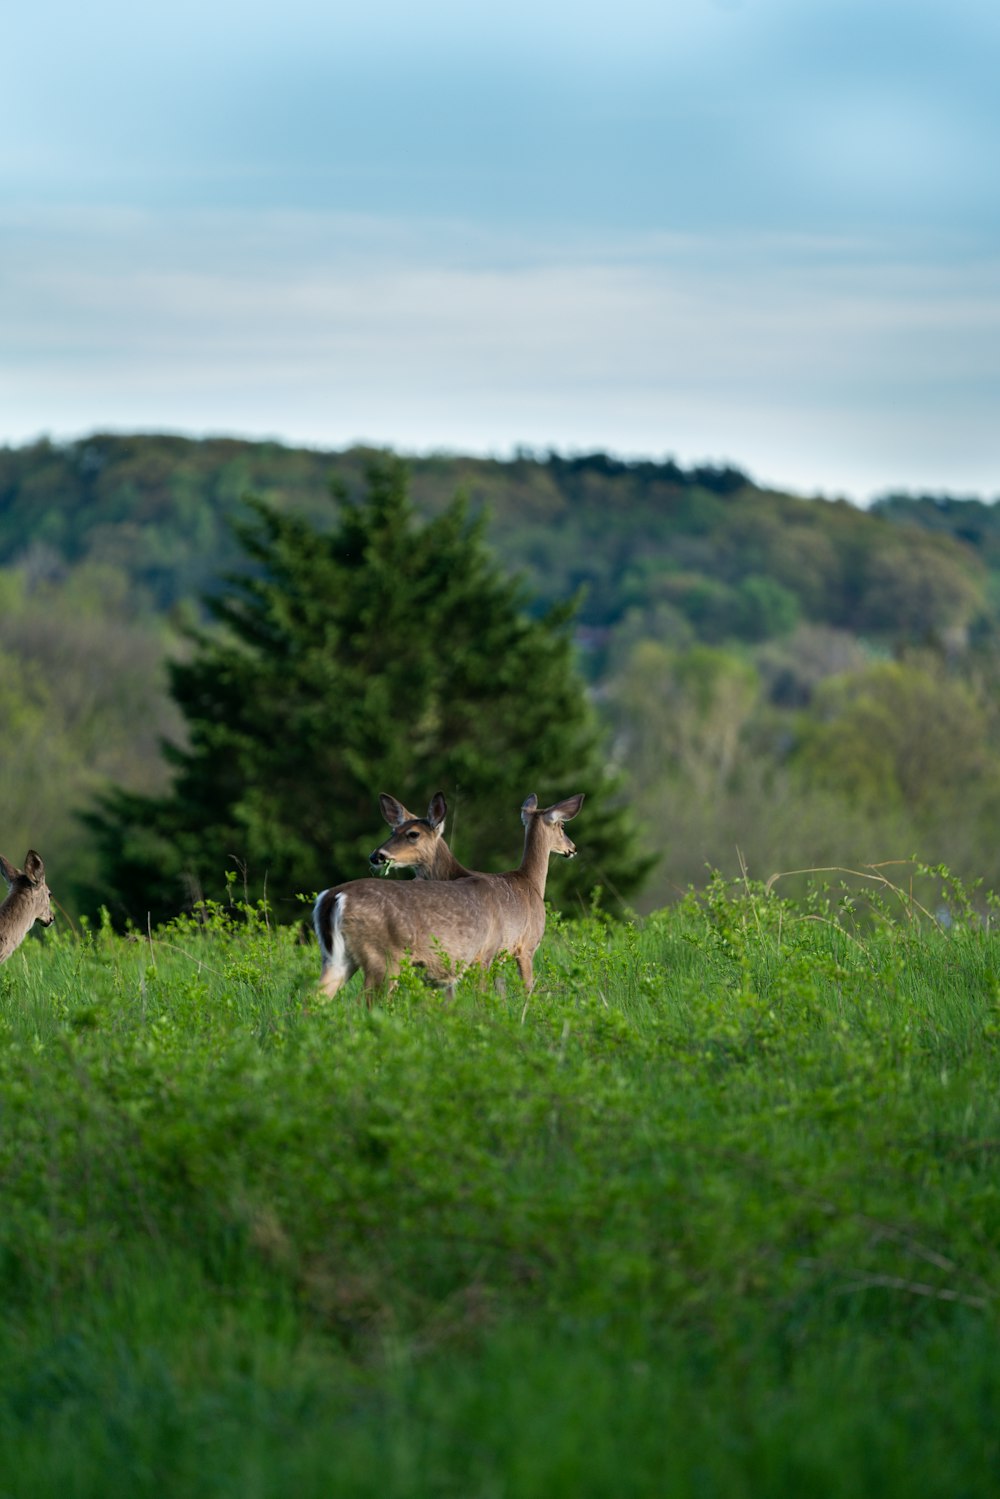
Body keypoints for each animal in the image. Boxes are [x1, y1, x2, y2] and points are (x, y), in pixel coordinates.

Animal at [314, 791, 587, 1001]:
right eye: (563, 825)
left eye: (408, 832)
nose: (573, 848)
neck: (530, 883)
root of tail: (334, 897)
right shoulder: (522, 946)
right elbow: (523, 990)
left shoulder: (494, 955)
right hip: (384, 959)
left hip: (337, 958)